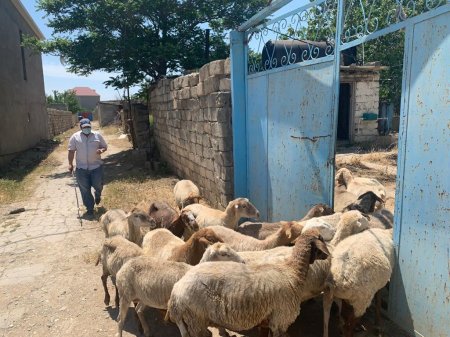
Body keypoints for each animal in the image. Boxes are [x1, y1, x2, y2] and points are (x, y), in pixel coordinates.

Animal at [114, 243, 244, 334]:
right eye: (224, 253)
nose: (243, 261)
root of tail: (123, 267)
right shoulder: (180, 307)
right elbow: (186, 331)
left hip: (145, 298)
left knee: (138, 310)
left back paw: (147, 331)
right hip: (125, 295)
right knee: (120, 320)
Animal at [165, 230, 330, 336]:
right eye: (321, 239)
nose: (328, 256)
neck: (293, 270)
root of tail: (176, 290)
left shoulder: (270, 320)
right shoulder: (281, 319)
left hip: (191, 321)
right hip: (196, 319)